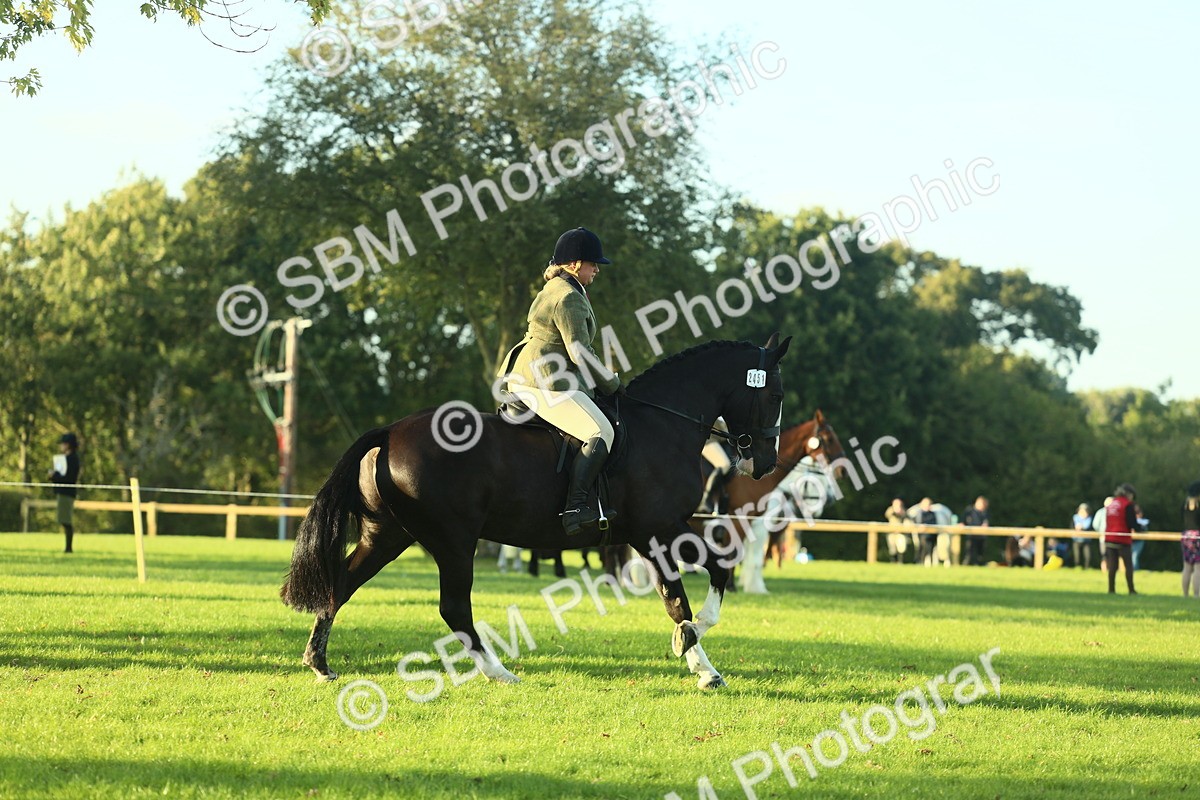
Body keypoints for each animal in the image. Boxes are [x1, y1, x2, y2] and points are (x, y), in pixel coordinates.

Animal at [281, 334, 792, 690]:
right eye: (776, 395)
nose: (763, 463)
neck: (663, 424)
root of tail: (389, 432)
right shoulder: (658, 529)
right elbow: (692, 589)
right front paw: (695, 649)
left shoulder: (656, 533)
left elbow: (693, 585)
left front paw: (695, 653)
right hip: (453, 540)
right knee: (453, 608)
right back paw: (500, 673)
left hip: (388, 535)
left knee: (342, 583)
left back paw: (319, 664)